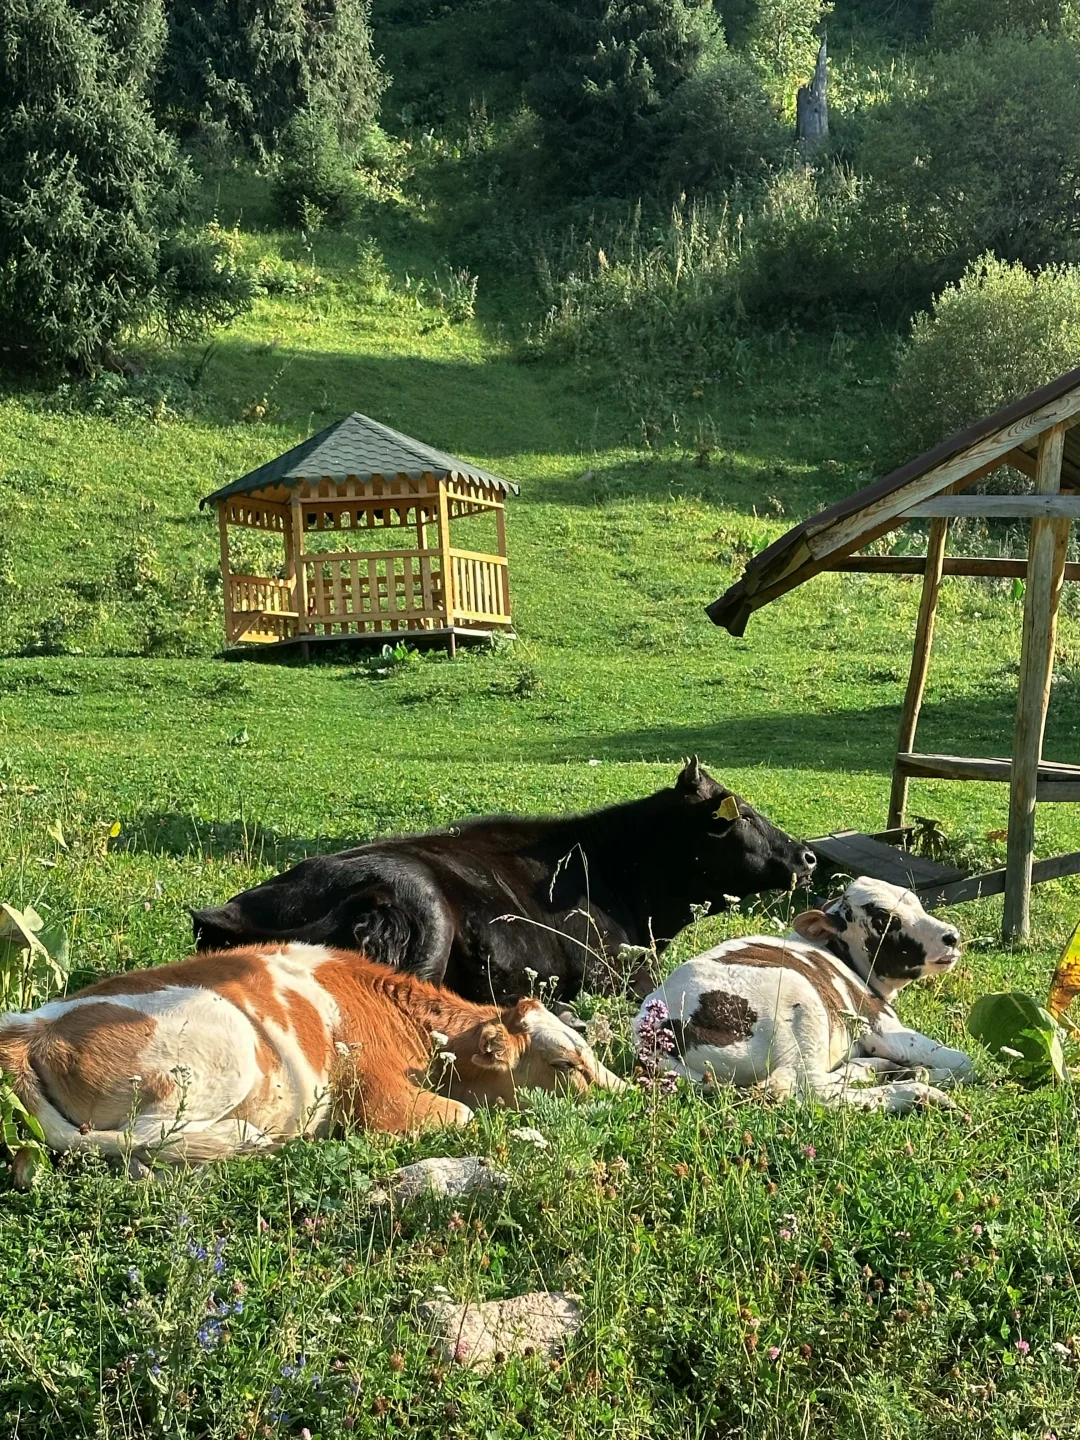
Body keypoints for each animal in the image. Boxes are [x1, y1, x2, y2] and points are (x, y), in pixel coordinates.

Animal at [0, 944, 624, 1169]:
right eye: (566, 1066)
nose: (630, 1097)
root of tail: (28, 1026)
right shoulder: (379, 1104)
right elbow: (466, 1115)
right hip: (216, 1059)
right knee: (143, 1141)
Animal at [630, 864, 979, 1111]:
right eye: (883, 920)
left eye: (917, 903)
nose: (952, 936)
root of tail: (655, 1028)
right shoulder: (880, 1025)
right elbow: (965, 1062)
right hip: (799, 1004)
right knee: (814, 1091)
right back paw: (918, 1091)